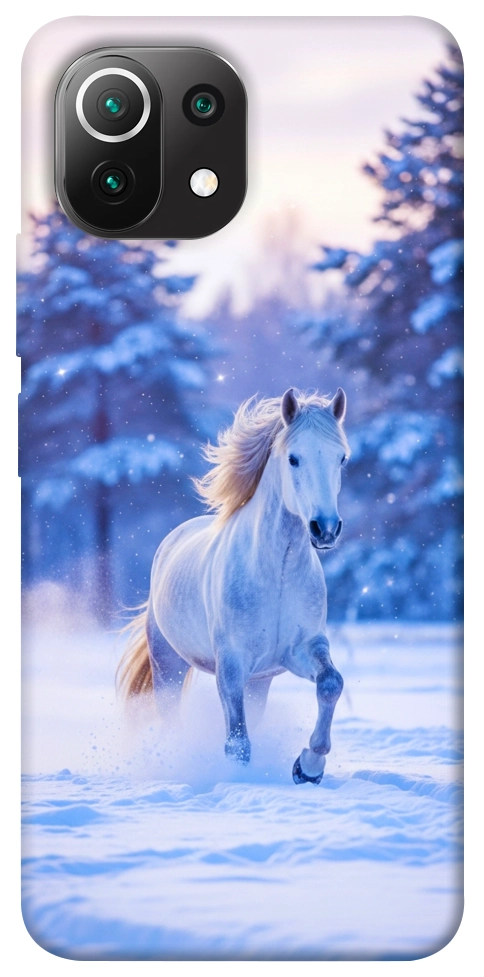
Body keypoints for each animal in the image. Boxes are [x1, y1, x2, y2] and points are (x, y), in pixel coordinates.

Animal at [118, 387, 350, 784]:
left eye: (341, 458)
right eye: (293, 458)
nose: (325, 529)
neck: (277, 573)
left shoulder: (301, 649)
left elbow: (331, 683)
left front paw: (308, 767)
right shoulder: (231, 664)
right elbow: (237, 742)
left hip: (259, 682)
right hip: (168, 665)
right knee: (171, 717)